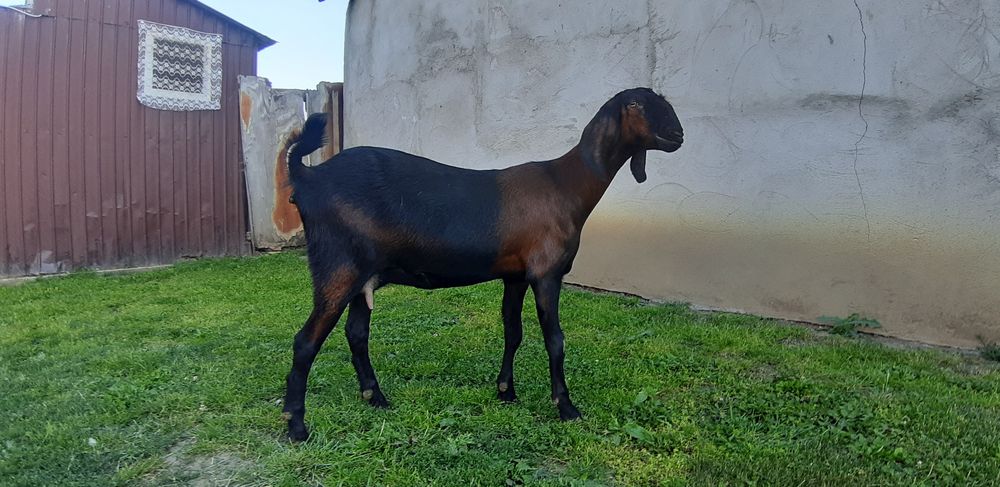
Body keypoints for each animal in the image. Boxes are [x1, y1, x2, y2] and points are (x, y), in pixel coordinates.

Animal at [280, 87, 684, 441]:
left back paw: (376, 398)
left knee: (356, 334)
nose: (678, 135)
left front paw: (506, 391)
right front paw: (566, 407)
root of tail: (307, 176)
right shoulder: (546, 273)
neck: (565, 185)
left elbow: (513, 331)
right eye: (635, 104)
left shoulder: (516, 275)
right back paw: (296, 426)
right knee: (305, 341)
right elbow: (555, 339)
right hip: (337, 267)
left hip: (364, 275)